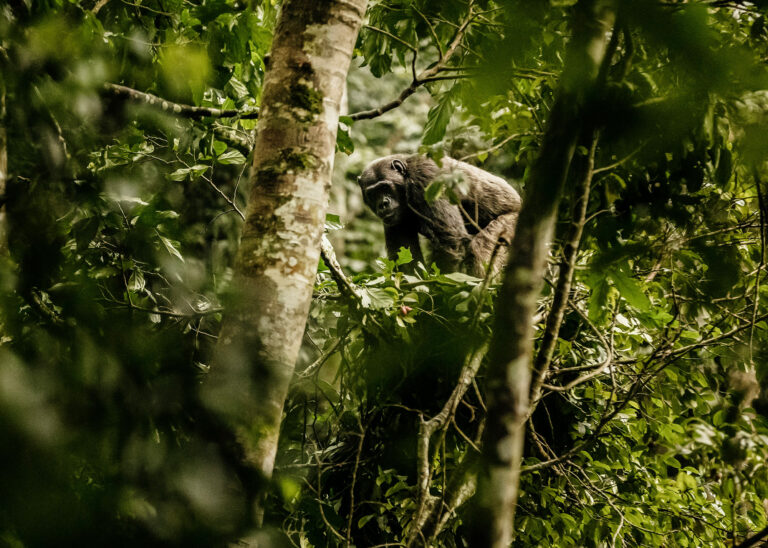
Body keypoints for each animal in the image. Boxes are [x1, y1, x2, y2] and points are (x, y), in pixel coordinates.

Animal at [358, 154, 521, 276]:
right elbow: (406, 257)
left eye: (384, 187)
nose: (383, 203)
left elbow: (450, 242)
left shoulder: (427, 179)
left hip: (511, 223)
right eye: (373, 194)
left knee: (481, 248)